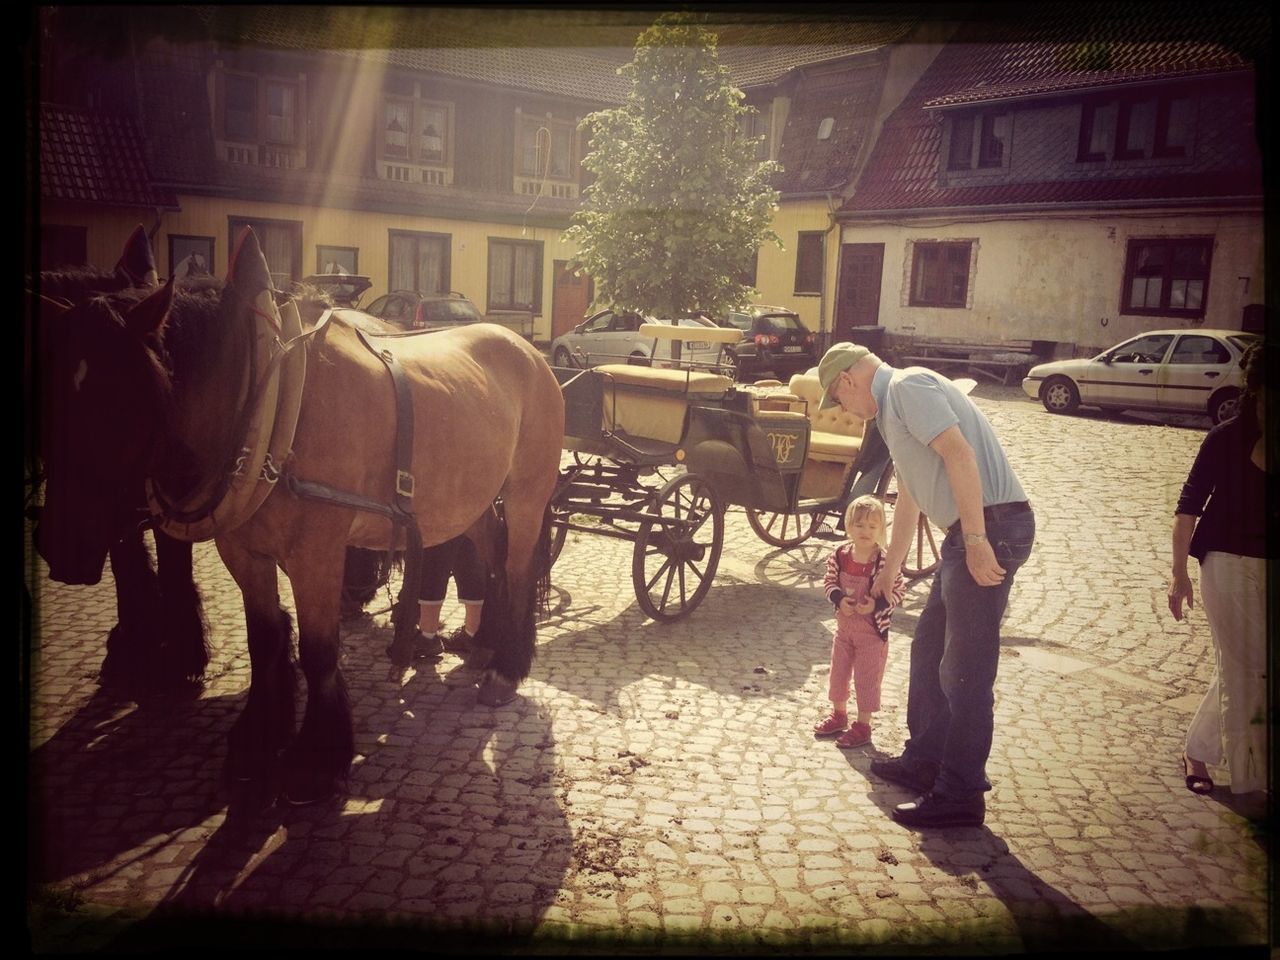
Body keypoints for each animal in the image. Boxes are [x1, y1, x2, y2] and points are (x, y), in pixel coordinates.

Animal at [31, 226, 209, 696]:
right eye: (46, 402)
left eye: (125, 404)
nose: (64, 547)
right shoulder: (118, 508)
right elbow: (128, 563)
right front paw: (137, 641)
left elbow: (173, 570)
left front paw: (181, 656)